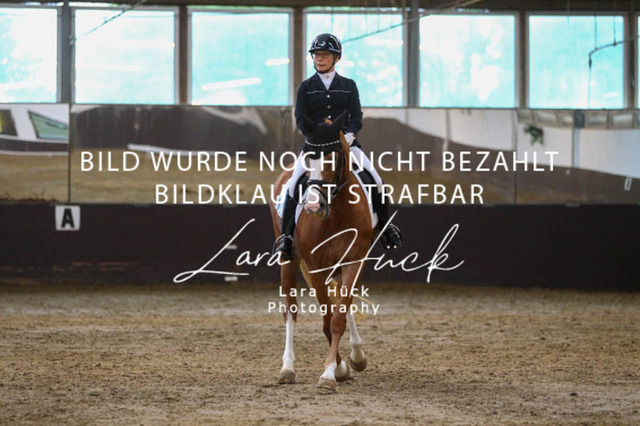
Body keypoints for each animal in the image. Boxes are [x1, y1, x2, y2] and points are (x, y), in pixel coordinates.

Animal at [269, 112, 373, 393]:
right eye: (308, 159)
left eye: (333, 157)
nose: (313, 207)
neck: (336, 214)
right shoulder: (316, 268)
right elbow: (327, 320)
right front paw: (335, 369)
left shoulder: (354, 262)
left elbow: (338, 316)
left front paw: (335, 370)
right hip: (290, 259)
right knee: (290, 310)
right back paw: (287, 368)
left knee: (341, 305)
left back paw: (357, 355)